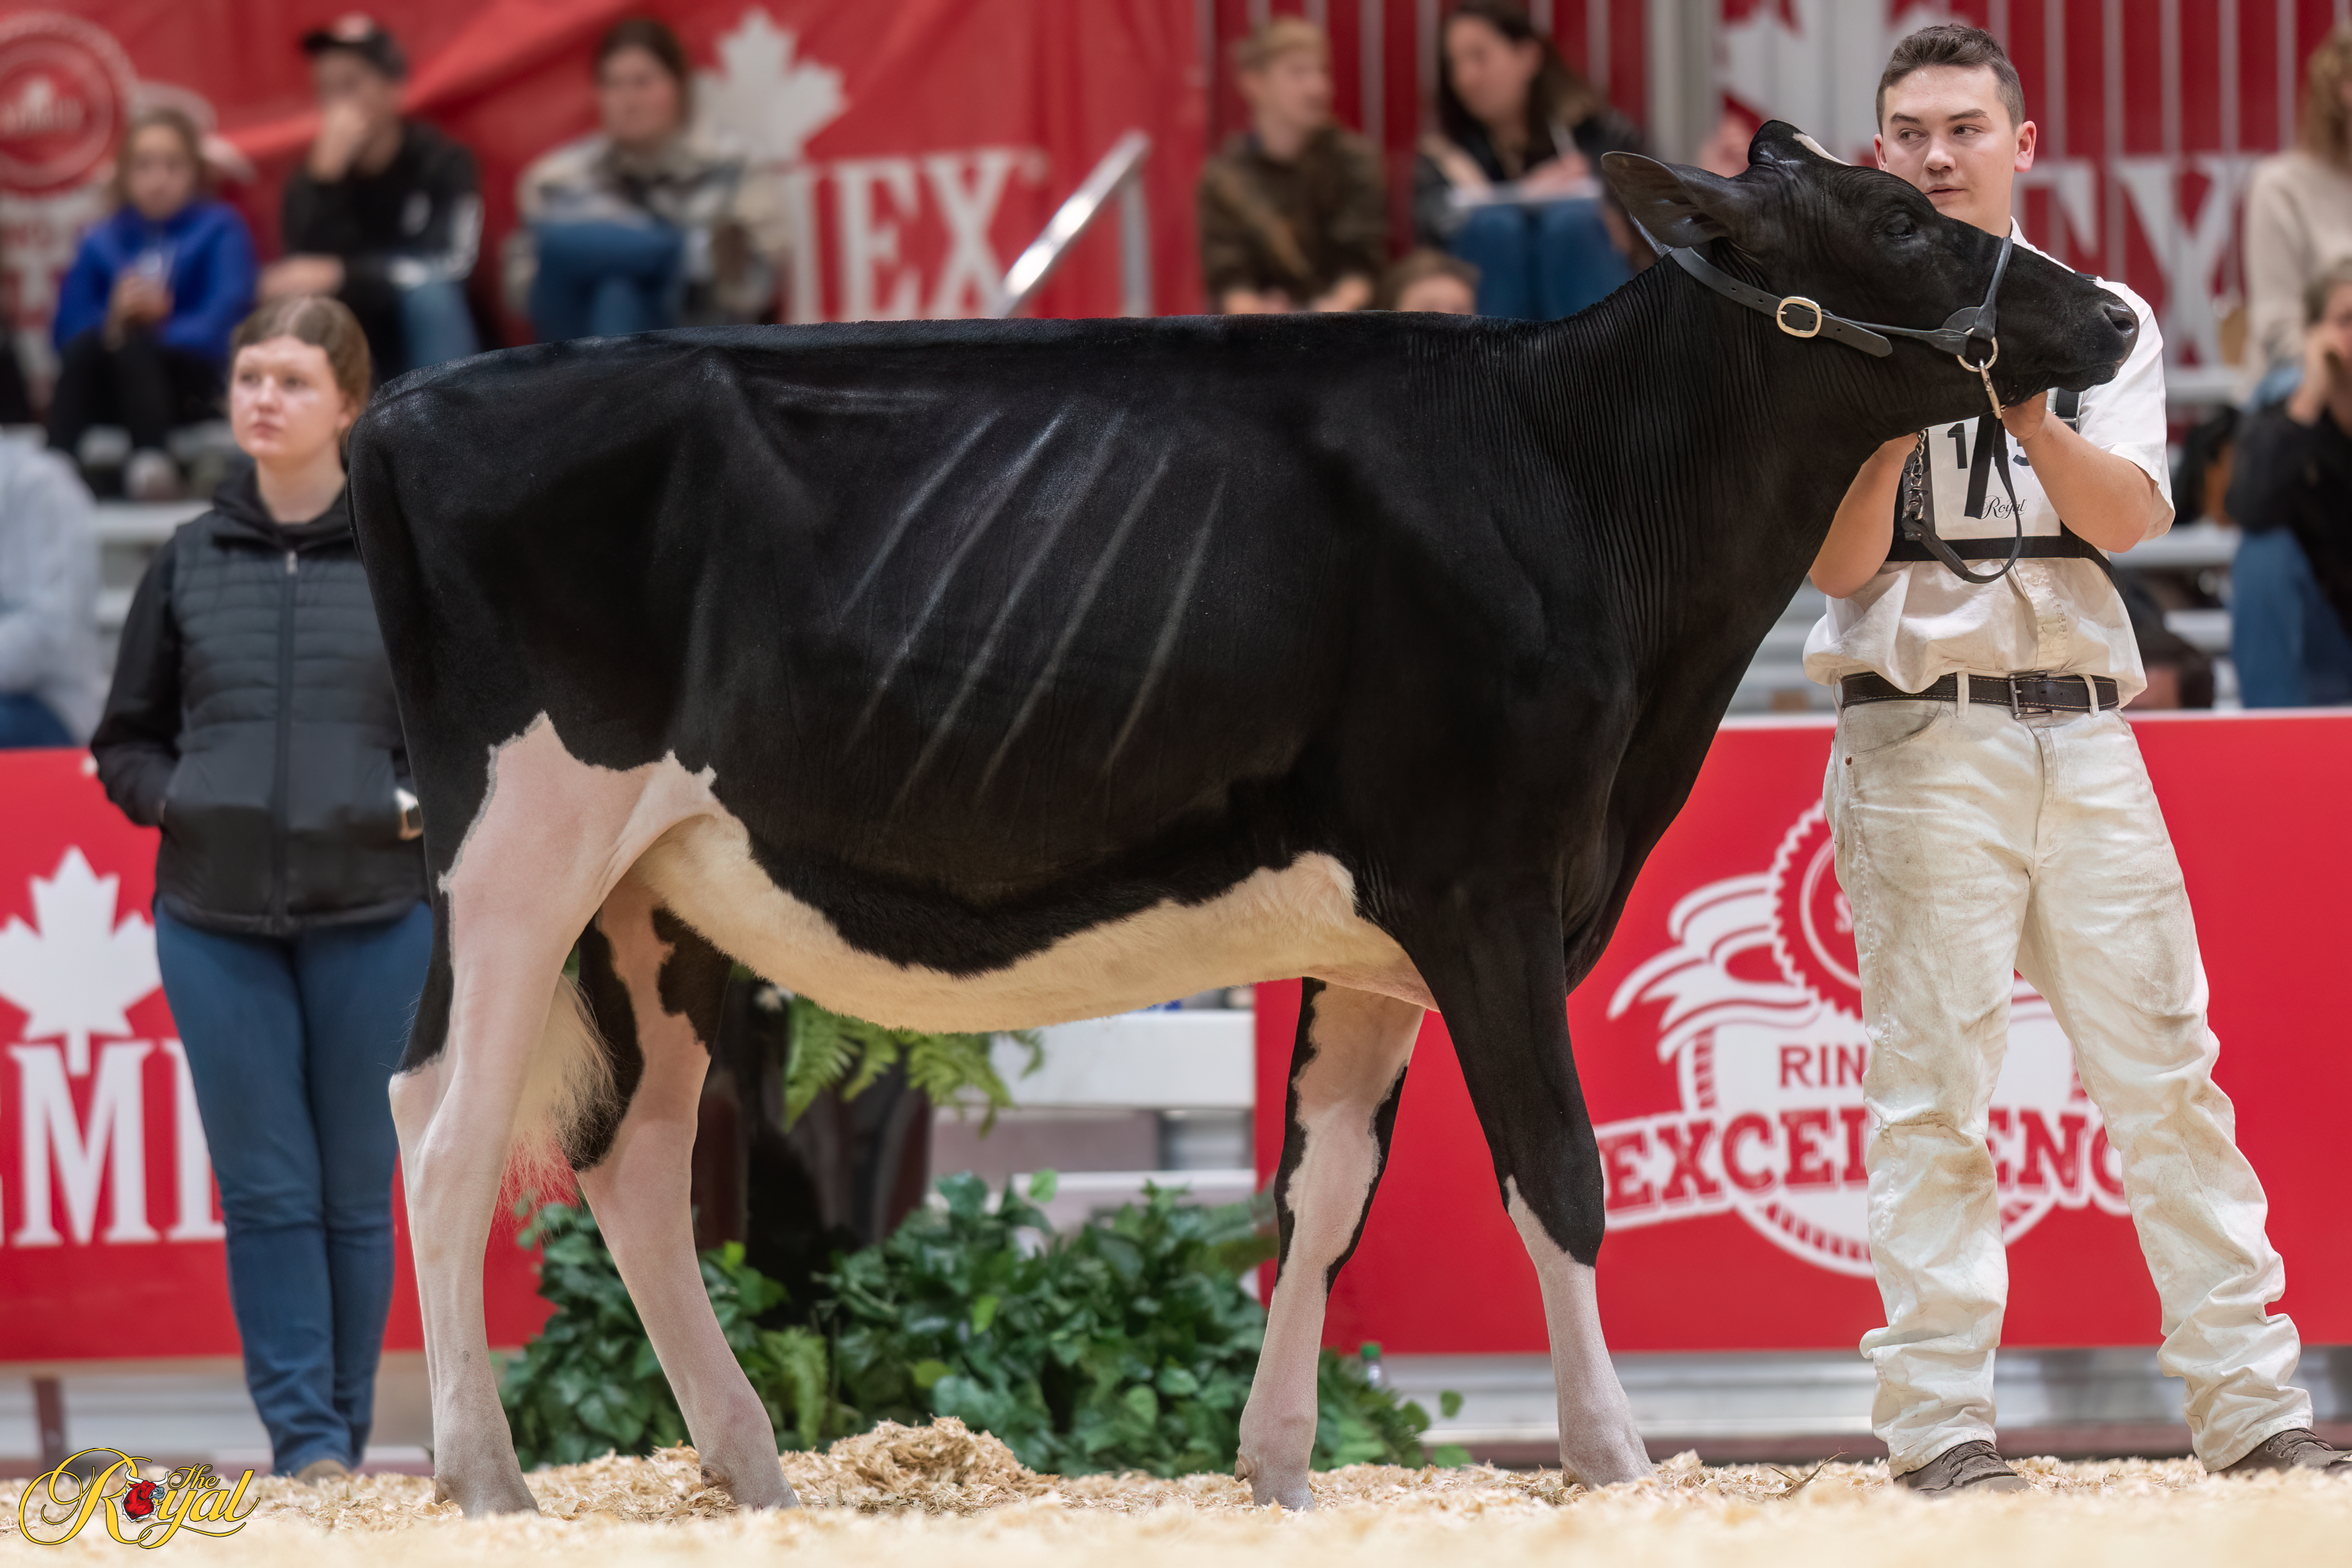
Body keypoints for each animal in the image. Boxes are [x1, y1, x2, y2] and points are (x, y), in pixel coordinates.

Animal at [348, 124, 2137, 1516]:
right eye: (1898, 216)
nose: (2114, 310)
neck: (1576, 486)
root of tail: (403, 408)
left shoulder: (1380, 931)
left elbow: (1319, 1195)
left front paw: (1276, 1470)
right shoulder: (1486, 883)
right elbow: (1557, 1172)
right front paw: (1619, 1463)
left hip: (656, 895)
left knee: (633, 1156)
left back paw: (750, 1468)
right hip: (517, 852)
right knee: (442, 1127)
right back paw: (484, 1478)